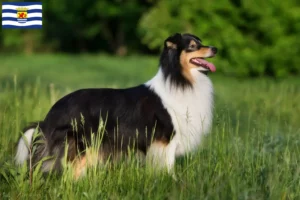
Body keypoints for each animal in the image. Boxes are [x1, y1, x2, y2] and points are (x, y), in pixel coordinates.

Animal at [15, 32, 217, 178]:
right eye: (193, 46)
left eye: (201, 41)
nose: (215, 48)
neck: (179, 79)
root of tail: (49, 117)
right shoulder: (165, 139)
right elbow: (168, 167)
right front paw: (172, 182)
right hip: (81, 145)